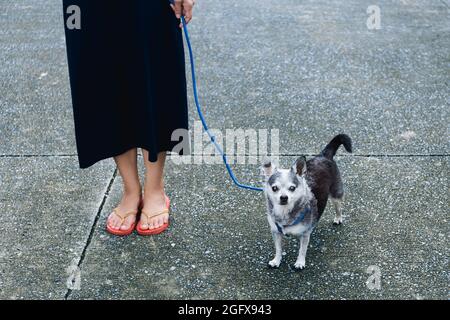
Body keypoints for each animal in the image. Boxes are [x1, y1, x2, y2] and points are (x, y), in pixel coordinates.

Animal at [262, 134, 354, 268]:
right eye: (274, 188)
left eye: (292, 188)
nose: (283, 197)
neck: (285, 212)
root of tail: (323, 155)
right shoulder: (276, 232)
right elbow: (278, 249)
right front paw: (276, 260)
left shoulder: (304, 235)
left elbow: (302, 250)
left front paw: (300, 262)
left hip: (336, 194)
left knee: (338, 207)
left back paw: (338, 218)